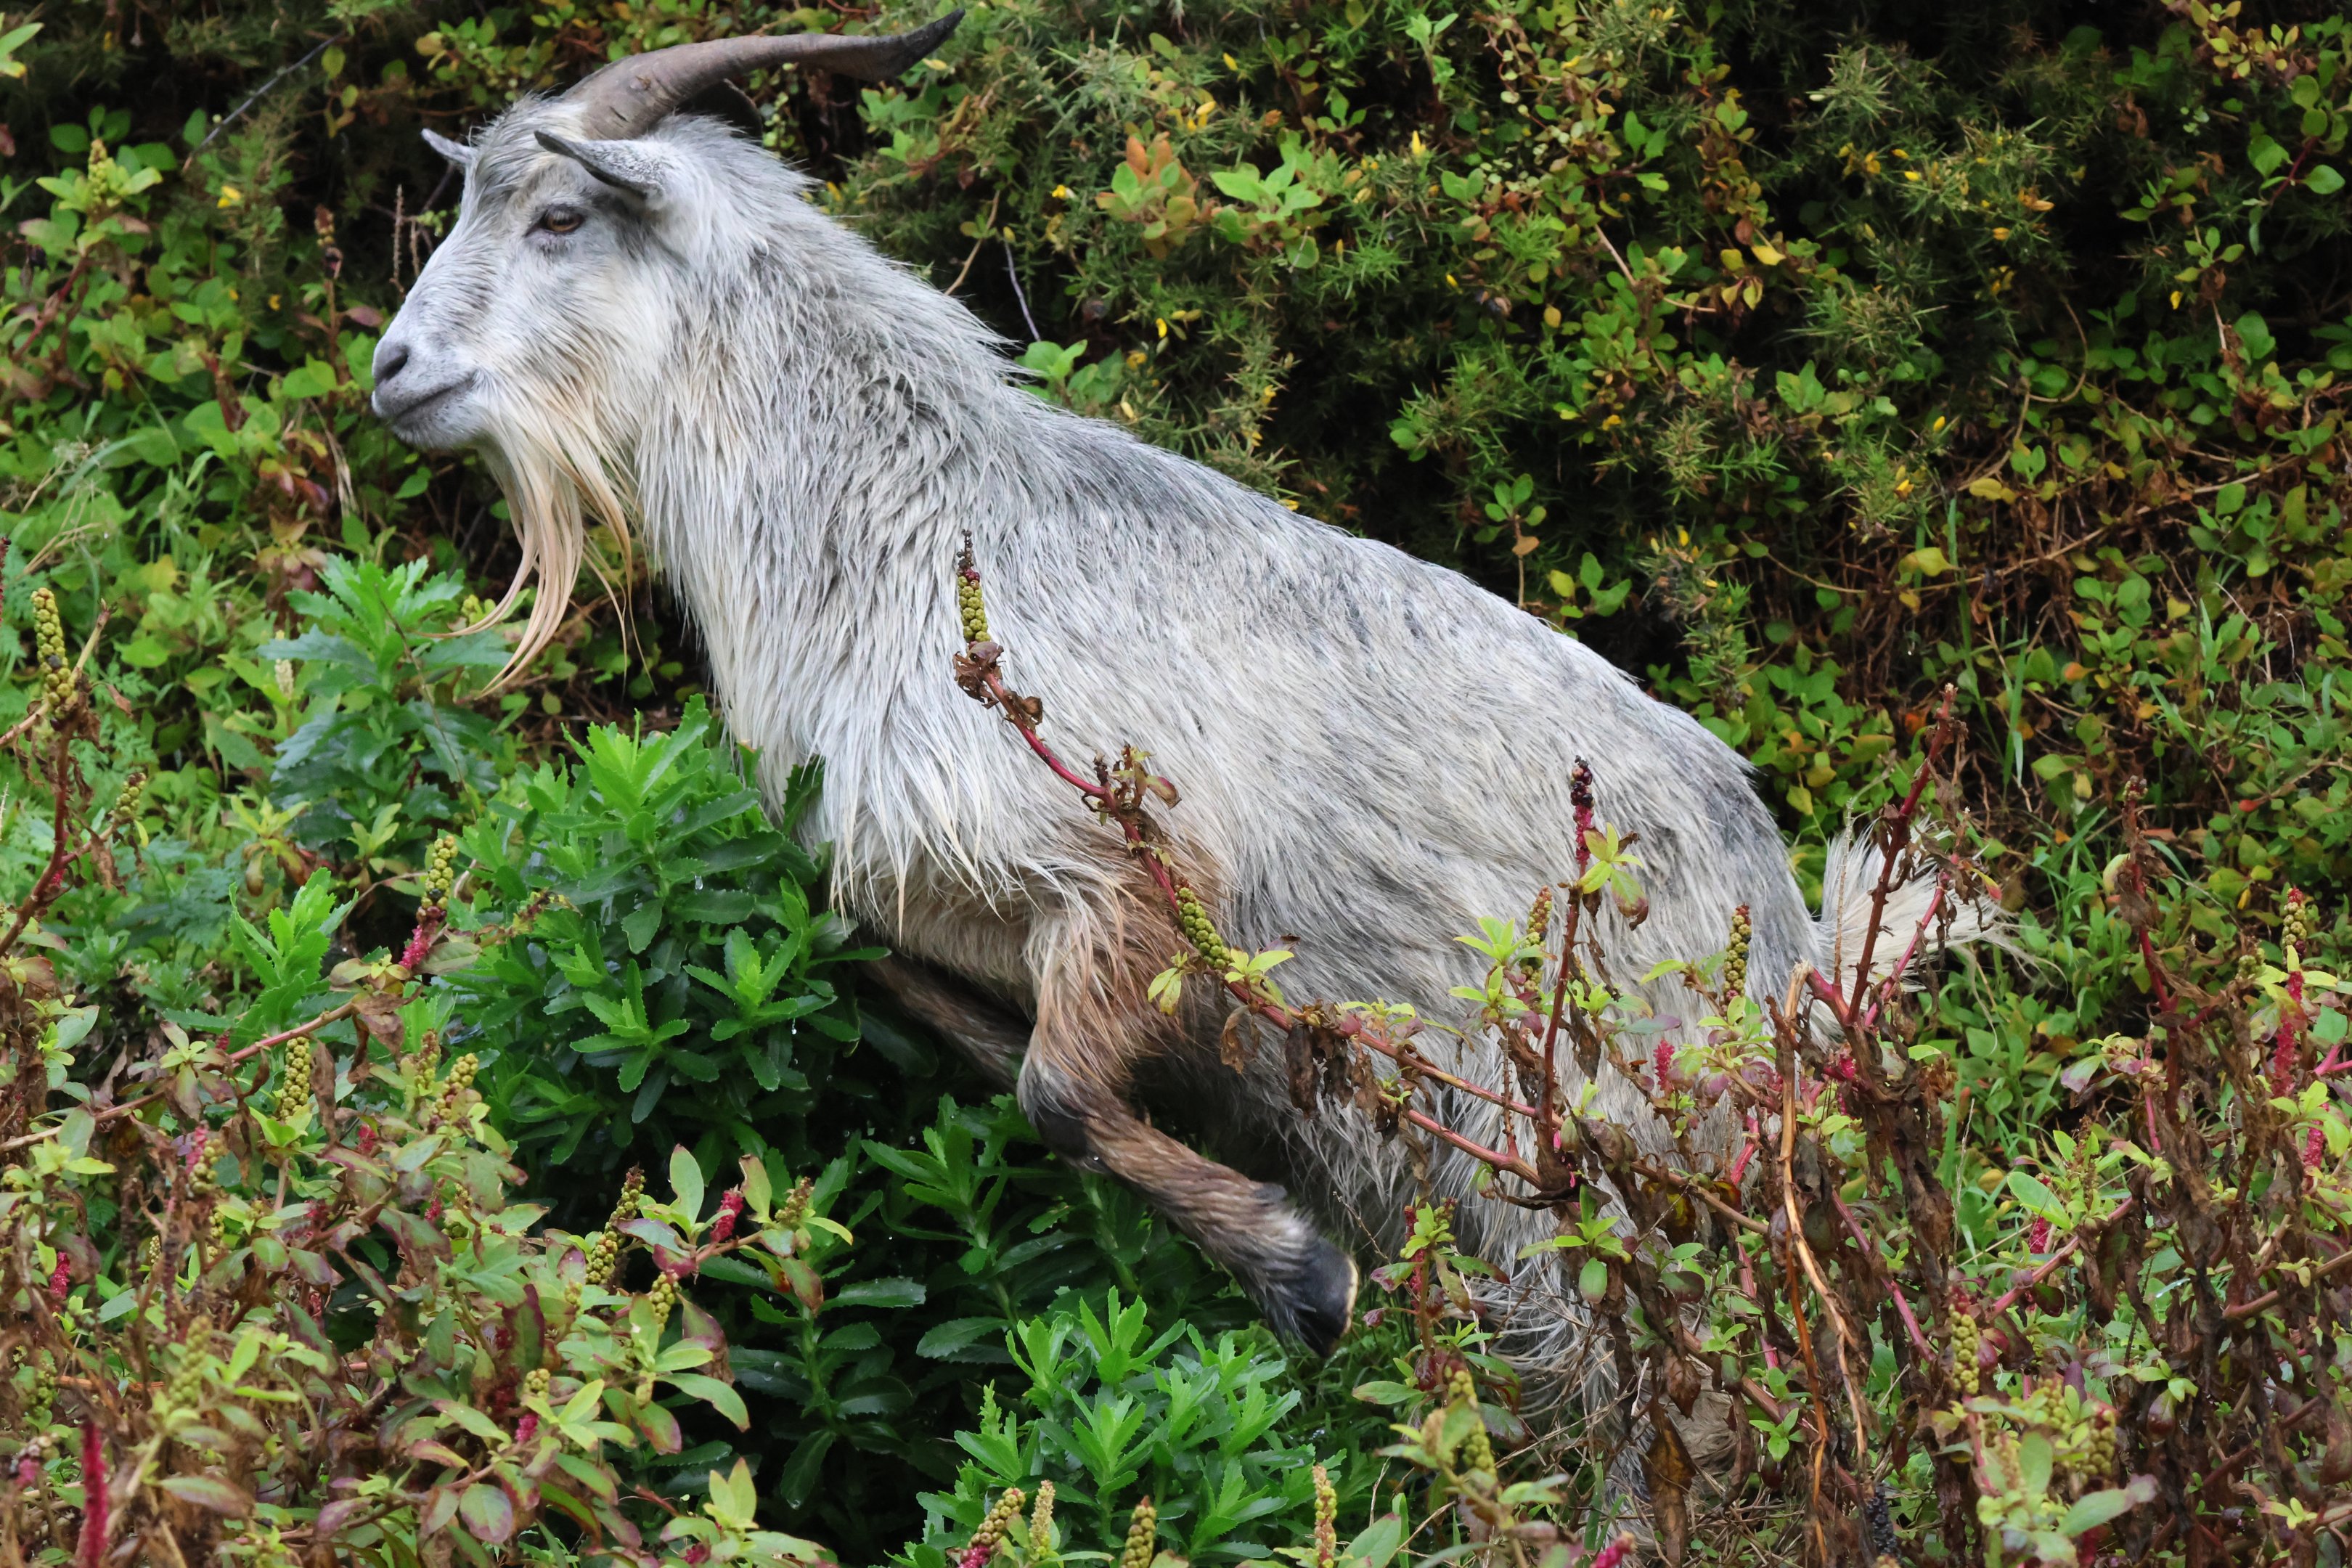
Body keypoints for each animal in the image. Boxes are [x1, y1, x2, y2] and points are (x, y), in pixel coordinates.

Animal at [369, 14, 1992, 1368]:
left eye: (559, 216)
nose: (393, 372)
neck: (907, 526)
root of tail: (1790, 939)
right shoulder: (918, 902)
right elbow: (956, 1026)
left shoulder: (1139, 868)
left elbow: (1054, 1095)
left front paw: (1299, 1272)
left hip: (1603, 1150)